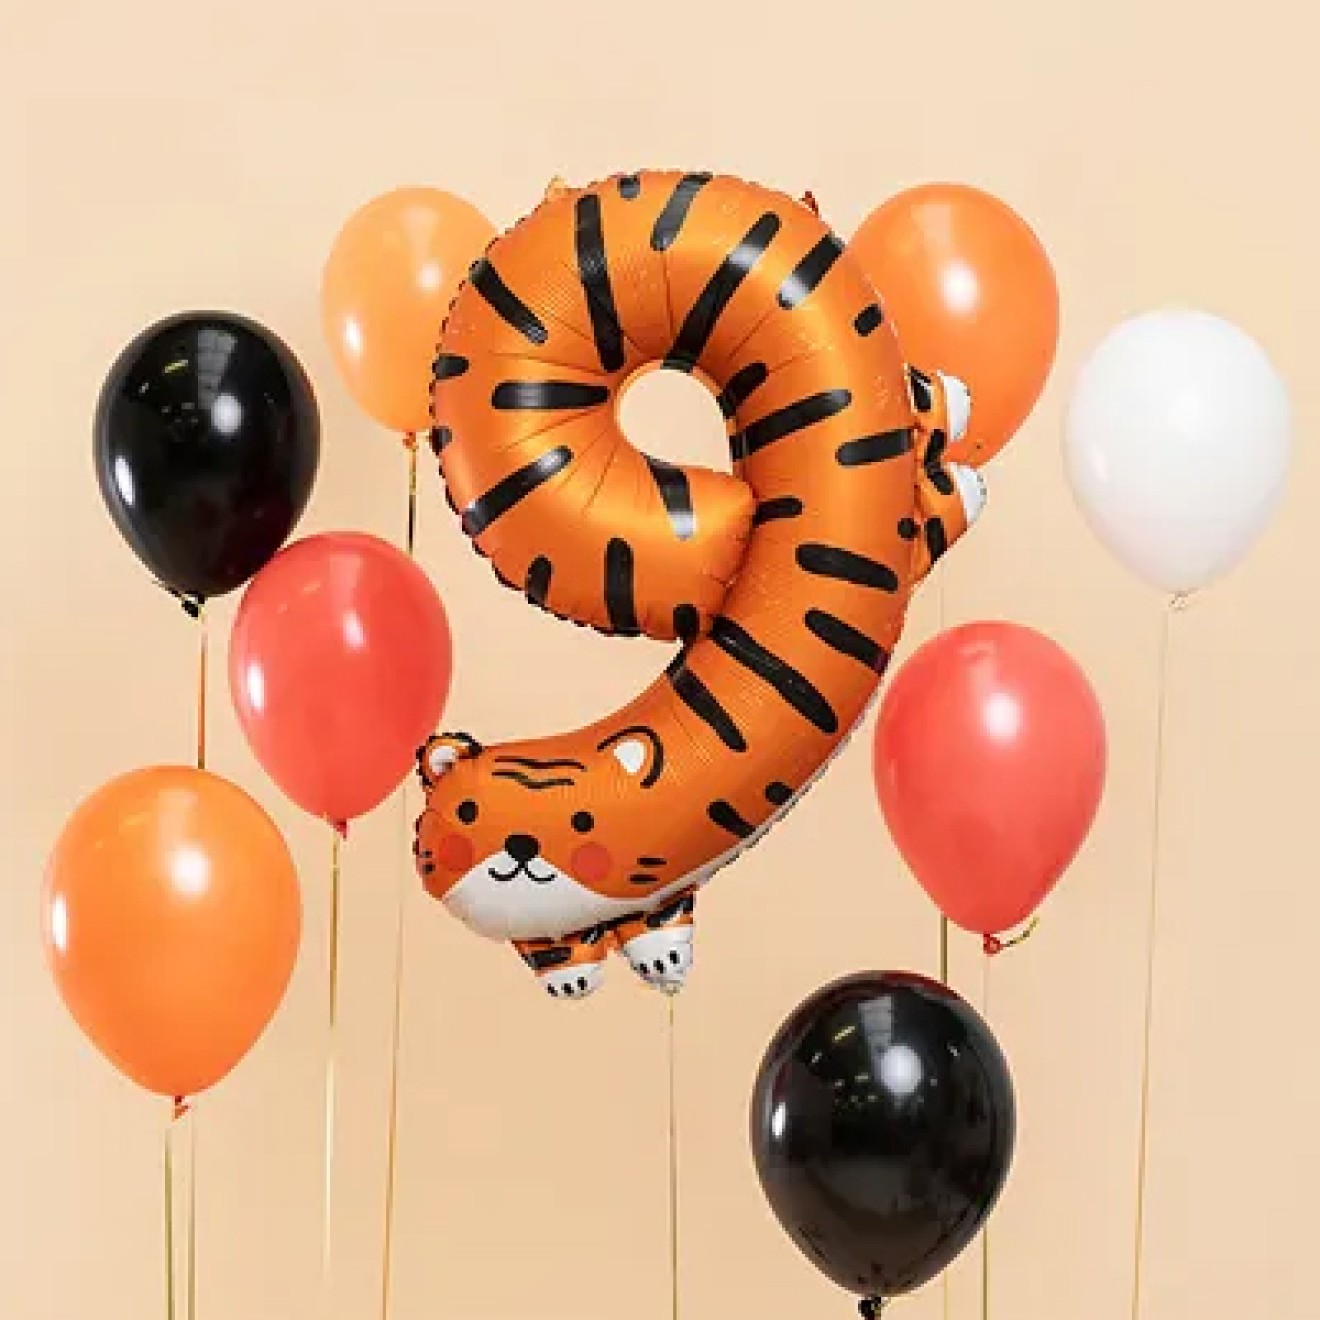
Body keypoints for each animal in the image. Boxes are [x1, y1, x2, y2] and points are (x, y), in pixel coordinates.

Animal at [416, 169, 985, 999]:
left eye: (580, 826)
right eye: (464, 816)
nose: (518, 848)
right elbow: (605, 929)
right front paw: (590, 969)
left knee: (928, 458)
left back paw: (960, 443)